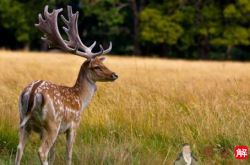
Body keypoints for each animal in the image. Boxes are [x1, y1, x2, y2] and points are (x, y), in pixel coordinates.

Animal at [15, 5, 118, 165]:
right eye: (97, 67)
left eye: (103, 63)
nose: (114, 75)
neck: (81, 99)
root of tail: (33, 91)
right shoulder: (74, 125)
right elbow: (68, 154)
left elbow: (53, 154)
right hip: (52, 122)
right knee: (41, 151)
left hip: (23, 121)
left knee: (20, 148)